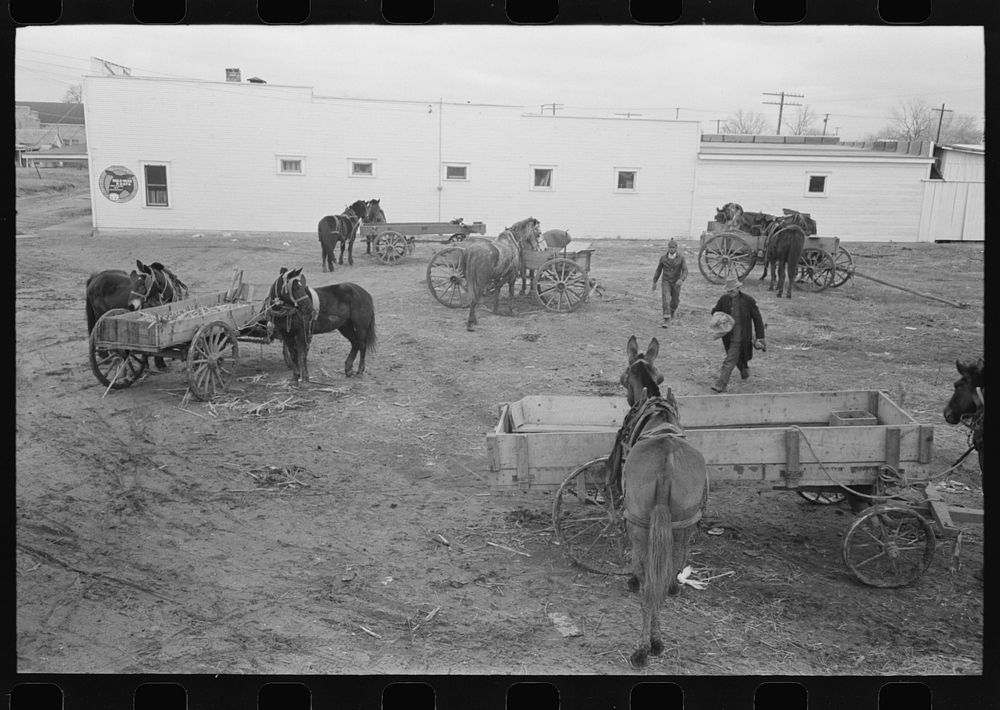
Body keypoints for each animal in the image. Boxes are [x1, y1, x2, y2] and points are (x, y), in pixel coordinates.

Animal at [612, 336, 708, 672]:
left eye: (623, 377)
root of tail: (666, 465)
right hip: (682, 525)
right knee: (664, 577)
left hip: (641, 526)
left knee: (647, 584)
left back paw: (645, 646)